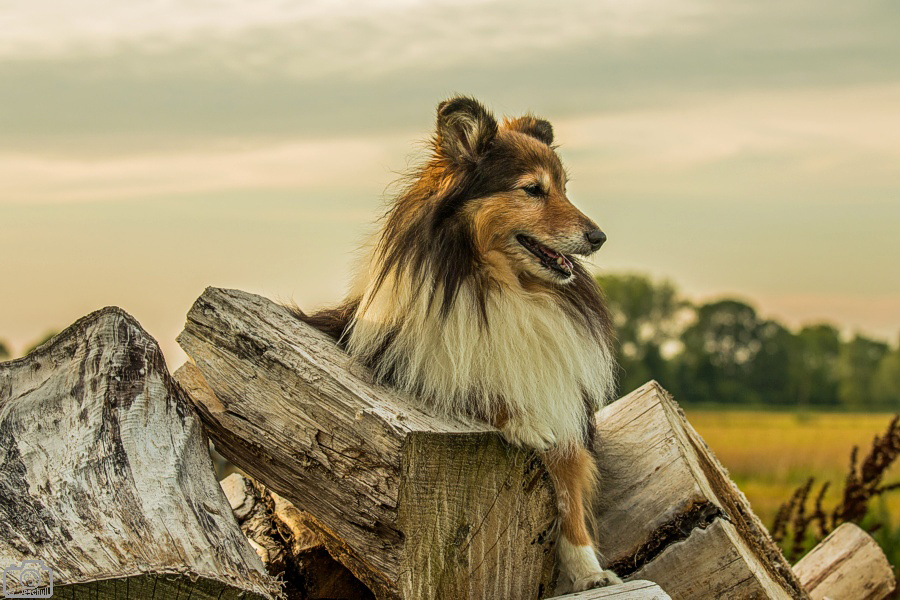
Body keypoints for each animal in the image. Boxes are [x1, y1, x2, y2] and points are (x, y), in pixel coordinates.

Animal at [298, 96, 624, 592]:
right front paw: (522, 422)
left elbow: (569, 494)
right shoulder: (413, 366)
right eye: (533, 190)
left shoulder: (560, 400)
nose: (600, 238)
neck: (502, 289)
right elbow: (474, 388)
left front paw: (589, 573)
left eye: (565, 188)